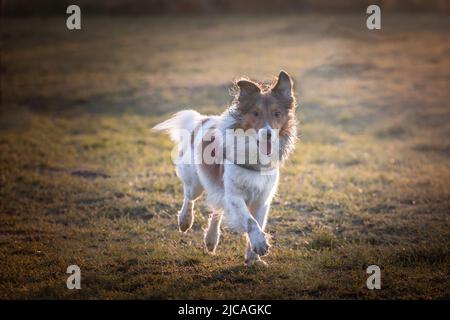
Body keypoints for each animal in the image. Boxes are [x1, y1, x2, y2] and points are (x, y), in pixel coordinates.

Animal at [153, 71, 298, 266]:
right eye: (255, 113)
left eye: (277, 113)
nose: (267, 134)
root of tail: (202, 119)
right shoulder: (234, 195)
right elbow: (250, 222)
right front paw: (260, 245)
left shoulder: (262, 200)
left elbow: (257, 223)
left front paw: (254, 257)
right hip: (195, 183)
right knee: (189, 197)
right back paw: (185, 220)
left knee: (217, 210)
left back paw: (211, 239)